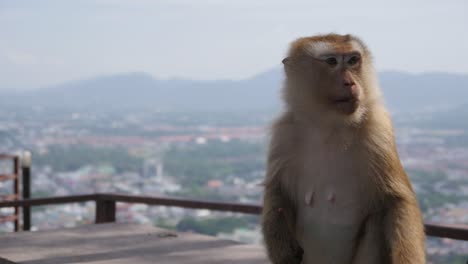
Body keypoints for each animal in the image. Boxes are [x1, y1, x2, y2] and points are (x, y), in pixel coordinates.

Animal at [262, 33, 426, 264]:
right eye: (332, 61)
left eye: (353, 60)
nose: (350, 82)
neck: (329, 125)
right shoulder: (283, 134)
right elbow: (278, 192)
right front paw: (282, 248)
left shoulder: (378, 129)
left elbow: (397, 201)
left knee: (376, 219)